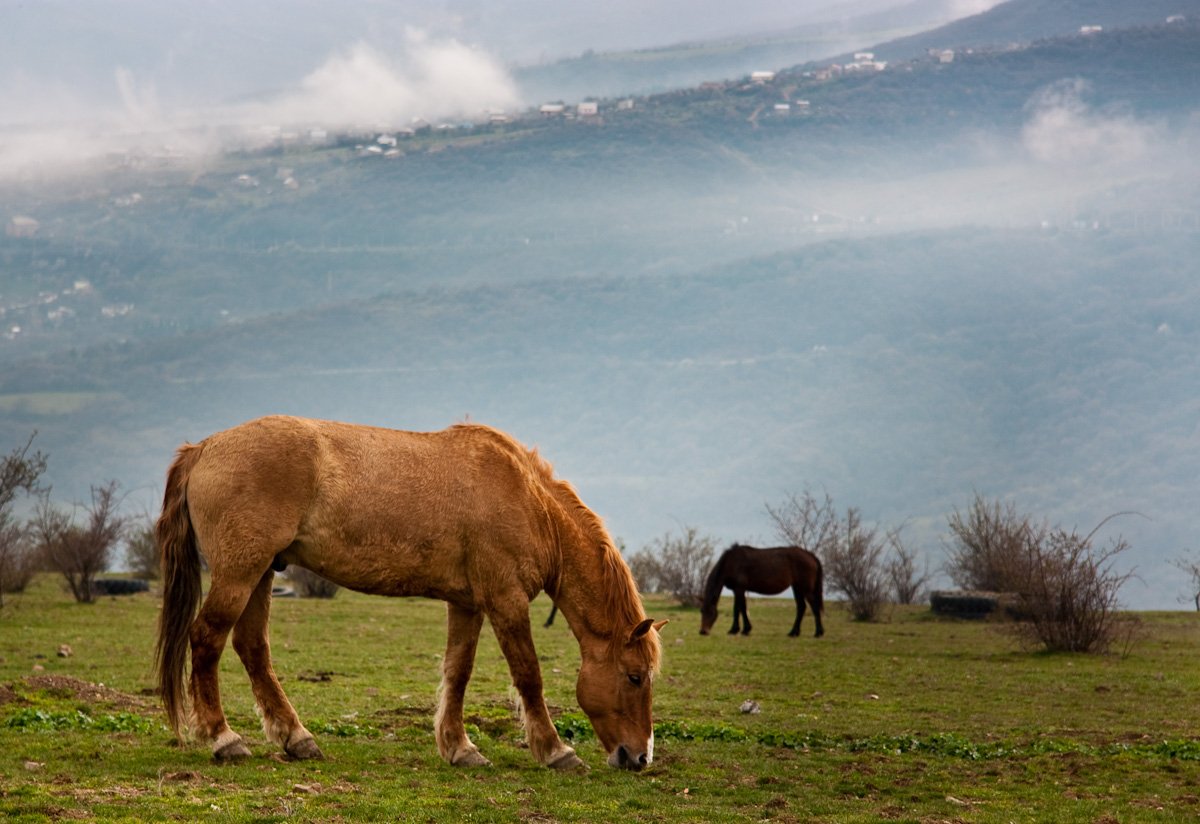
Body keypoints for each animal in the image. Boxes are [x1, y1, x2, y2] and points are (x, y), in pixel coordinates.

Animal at [154, 414, 667, 772]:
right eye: (635, 677)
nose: (639, 757)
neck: (527, 501)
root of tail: (203, 448)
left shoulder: (467, 604)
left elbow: (457, 673)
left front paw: (460, 748)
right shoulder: (505, 600)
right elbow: (529, 676)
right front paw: (556, 750)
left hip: (261, 574)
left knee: (252, 649)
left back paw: (297, 738)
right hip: (240, 574)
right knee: (207, 640)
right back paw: (225, 739)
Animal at [696, 546, 825, 638]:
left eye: (711, 612)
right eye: (701, 611)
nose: (703, 631)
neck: (731, 562)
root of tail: (810, 555)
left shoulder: (740, 589)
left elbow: (740, 608)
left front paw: (742, 630)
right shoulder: (737, 590)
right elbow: (738, 608)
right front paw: (738, 629)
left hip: (805, 588)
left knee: (814, 607)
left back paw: (818, 633)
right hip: (797, 587)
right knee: (801, 607)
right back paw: (793, 632)